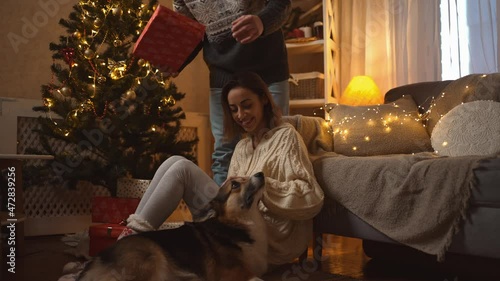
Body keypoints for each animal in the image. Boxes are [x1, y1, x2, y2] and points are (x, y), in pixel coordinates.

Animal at [77, 171, 270, 280]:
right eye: (235, 184)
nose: (261, 173)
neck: (236, 225)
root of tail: (97, 260)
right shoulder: (234, 273)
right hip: (151, 258)